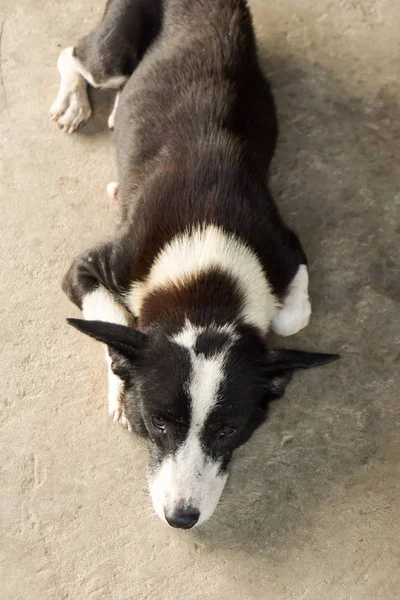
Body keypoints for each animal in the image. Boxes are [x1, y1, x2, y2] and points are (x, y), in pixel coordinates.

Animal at [50, 0, 338, 528]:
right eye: (159, 422)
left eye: (228, 430)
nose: (181, 518)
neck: (207, 280)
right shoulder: (92, 265)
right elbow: (110, 313)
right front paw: (118, 379)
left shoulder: (288, 249)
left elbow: (292, 318)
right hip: (113, 55)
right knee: (76, 55)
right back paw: (74, 103)